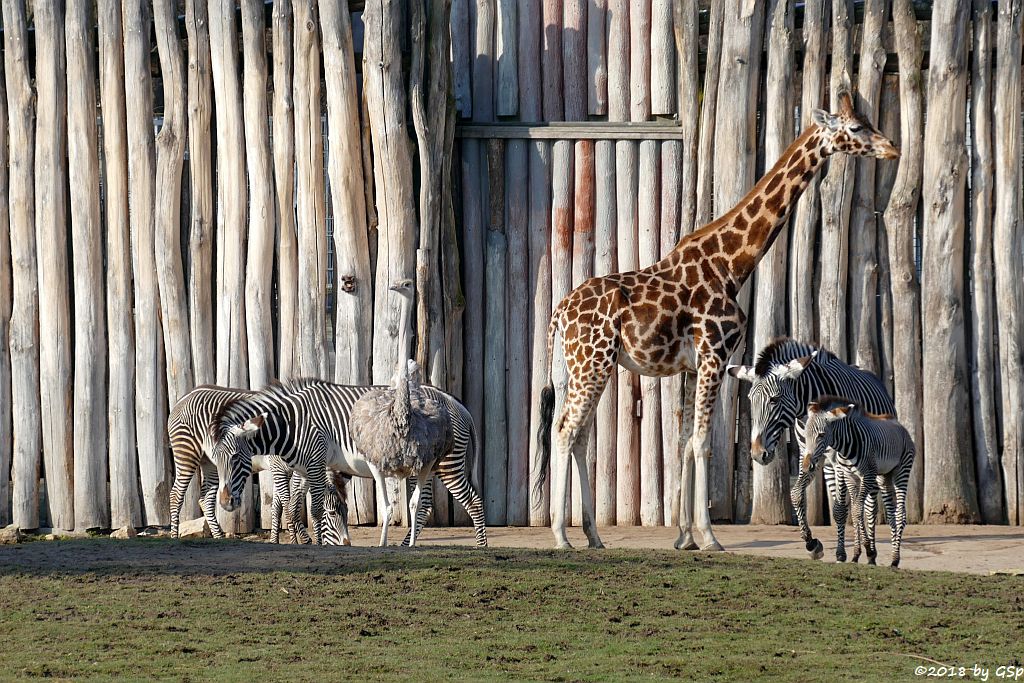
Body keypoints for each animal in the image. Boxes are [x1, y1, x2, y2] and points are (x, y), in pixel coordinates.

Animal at [164, 385, 348, 544]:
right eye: (332, 513)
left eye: (346, 512)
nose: (346, 544)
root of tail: (186, 396)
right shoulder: (279, 468)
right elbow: (289, 506)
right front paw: (299, 541)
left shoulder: (289, 470)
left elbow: (278, 507)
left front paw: (275, 540)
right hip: (186, 454)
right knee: (175, 495)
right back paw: (174, 538)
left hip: (211, 463)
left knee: (205, 500)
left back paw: (219, 537)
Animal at [208, 376, 487, 548]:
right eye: (216, 461)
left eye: (235, 458)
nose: (225, 502)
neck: (291, 423)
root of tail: (456, 403)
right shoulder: (303, 469)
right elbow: (296, 506)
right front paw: (303, 541)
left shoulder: (315, 462)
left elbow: (314, 508)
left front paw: (317, 544)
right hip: (425, 467)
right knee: (426, 504)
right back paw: (405, 545)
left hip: (448, 464)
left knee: (473, 501)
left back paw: (481, 547)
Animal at [729, 339, 897, 565]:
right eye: (749, 399)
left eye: (774, 399)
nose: (757, 454)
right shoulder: (807, 455)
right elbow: (796, 495)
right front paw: (811, 543)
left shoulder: (839, 459)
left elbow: (840, 509)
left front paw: (843, 553)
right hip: (830, 465)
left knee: (869, 504)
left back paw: (871, 552)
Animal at [802, 397, 917, 569]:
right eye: (806, 434)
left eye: (821, 435)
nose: (806, 465)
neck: (846, 448)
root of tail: (900, 425)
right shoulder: (850, 477)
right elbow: (856, 513)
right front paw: (857, 555)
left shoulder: (867, 476)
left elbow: (857, 511)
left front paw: (868, 550)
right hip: (884, 476)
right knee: (891, 514)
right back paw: (892, 556)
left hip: (901, 470)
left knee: (900, 514)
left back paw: (895, 559)